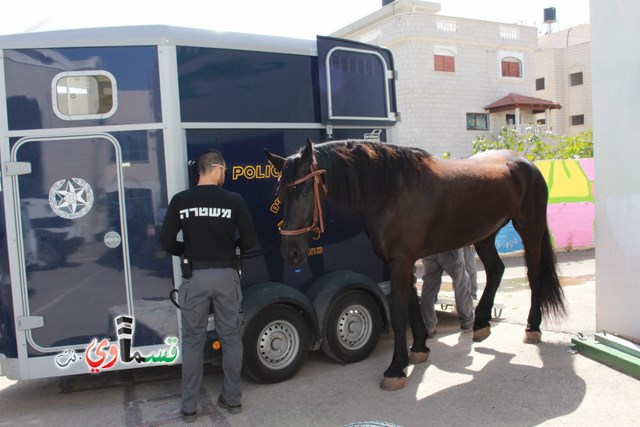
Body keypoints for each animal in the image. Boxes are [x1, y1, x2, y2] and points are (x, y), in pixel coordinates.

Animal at [264, 140, 564, 392]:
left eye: (304, 192)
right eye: (280, 193)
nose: (290, 252)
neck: (392, 191)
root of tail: (525, 163)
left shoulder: (402, 261)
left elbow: (399, 313)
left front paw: (396, 368)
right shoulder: (399, 261)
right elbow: (412, 303)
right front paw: (419, 349)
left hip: (530, 228)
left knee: (533, 275)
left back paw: (532, 328)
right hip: (485, 234)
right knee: (496, 270)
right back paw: (480, 323)